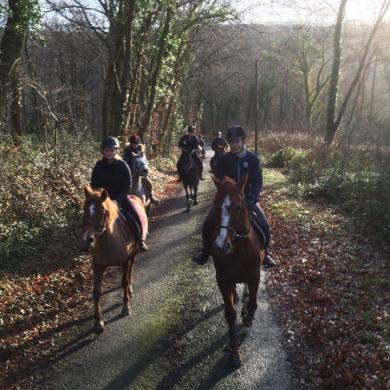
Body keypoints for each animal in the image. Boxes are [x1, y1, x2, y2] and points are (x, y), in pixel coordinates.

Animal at [82, 184, 148, 334]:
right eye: (84, 212)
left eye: (102, 213)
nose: (87, 241)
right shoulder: (98, 266)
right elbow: (96, 292)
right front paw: (98, 323)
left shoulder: (125, 261)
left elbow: (124, 282)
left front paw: (125, 308)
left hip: (133, 255)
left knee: (130, 271)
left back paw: (130, 290)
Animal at [209, 175, 266, 368]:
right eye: (216, 205)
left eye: (239, 206)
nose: (220, 246)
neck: (239, 248)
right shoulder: (222, 280)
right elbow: (230, 315)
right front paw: (234, 352)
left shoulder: (255, 275)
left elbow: (254, 303)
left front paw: (248, 317)